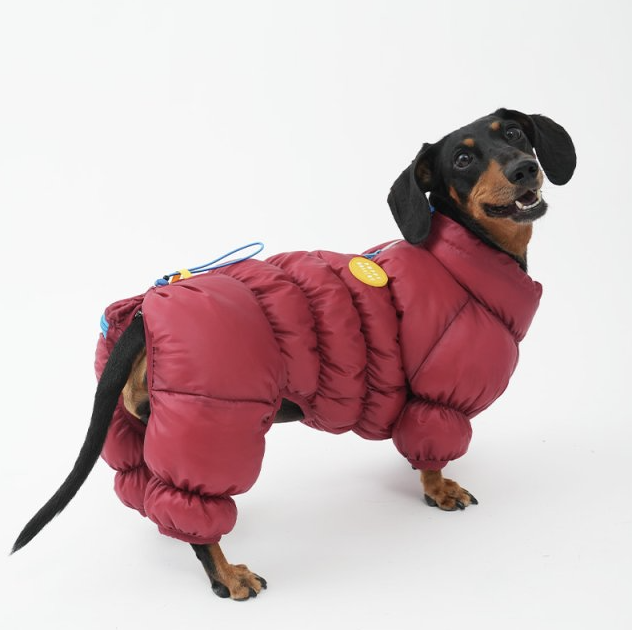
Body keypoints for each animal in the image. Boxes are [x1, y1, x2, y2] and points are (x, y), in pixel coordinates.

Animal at [12, 108, 576, 601]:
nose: (524, 169)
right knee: (196, 514)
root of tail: (146, 311)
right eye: (461, 159)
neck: (463, 256)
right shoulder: (440, 399)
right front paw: (439, 489)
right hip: (217, 428)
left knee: (151, 495)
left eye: (516, 136)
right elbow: (432, 455)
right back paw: (227, 575)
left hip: (141, 427)